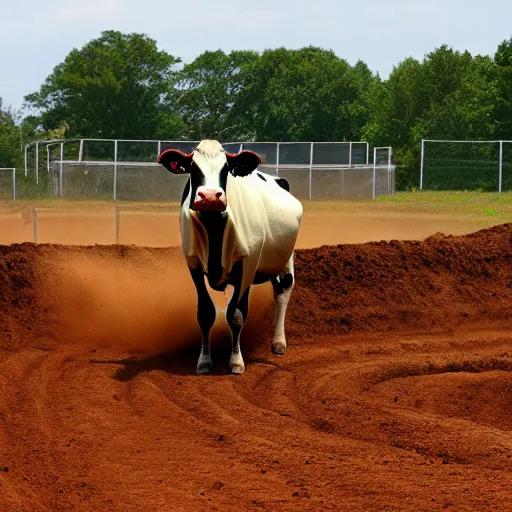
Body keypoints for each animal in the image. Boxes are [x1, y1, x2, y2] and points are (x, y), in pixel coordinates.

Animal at [158, 139, 302, 372]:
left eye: (225, 169)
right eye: (193, 168)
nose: (209, 196)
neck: (214, 228)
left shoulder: (247, 267)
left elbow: (236, 314)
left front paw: (236, 360)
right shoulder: (193, 265)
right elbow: (206, 312)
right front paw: (204, 360)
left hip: (284, 258)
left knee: (284, 289)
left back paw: (278, 341)